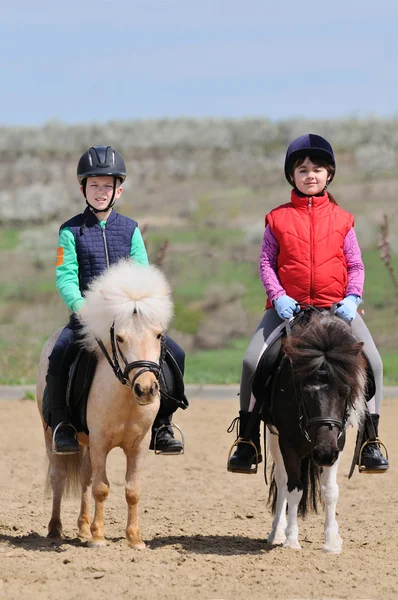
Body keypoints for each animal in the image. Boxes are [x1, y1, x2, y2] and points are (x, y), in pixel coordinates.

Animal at [37, 260, 173, 548]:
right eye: (119, 338)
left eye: (158, 335)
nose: (146, 389)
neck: (125, 398)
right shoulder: (100, 441)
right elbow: (102, 488)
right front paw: (99, 538)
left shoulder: (138, 445)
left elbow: (132, 490)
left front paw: (134, 539)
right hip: (50, 434)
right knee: (59, 477)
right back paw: (55, 529)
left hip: (86, 442)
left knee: (85, 477)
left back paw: (83, 529)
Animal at [256, 310, 366, 552]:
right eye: (305, 392)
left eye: (345, 392)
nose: (323, 453)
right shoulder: (287, 443)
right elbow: (293, 489)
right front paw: (291, 540)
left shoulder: (338, 444)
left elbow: (330, 491)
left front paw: (331, 541)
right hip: (273, 437)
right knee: (281, 479)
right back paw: (277, 532)